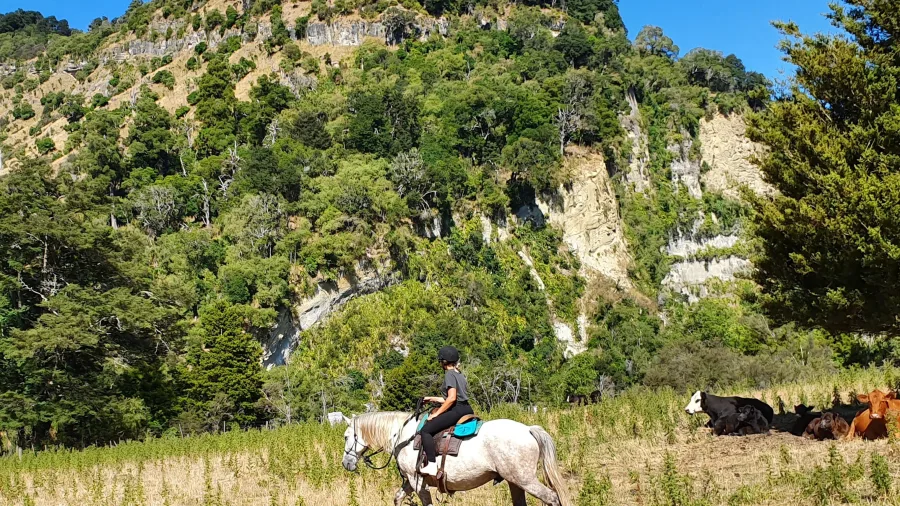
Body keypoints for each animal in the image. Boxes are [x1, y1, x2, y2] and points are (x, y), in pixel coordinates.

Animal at [341, 411, 572, 506]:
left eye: (345, 436)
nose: (346, 463)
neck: (403, 437)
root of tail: (528, 429)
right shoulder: (409, 482)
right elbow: (397, 498)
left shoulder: (417, 482)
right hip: (515, 481)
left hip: (525, 479)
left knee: (552, 498)